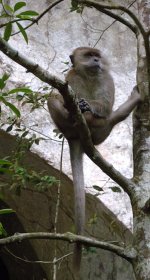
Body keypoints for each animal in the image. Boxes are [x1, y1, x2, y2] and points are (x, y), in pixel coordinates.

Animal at [47, 46, 142, 274]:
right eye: (89, 55)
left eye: (96, 55)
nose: (97, 60)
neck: (89, 76)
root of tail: (77, 137)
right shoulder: (71, 77)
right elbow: (61, 93)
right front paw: (75, 105)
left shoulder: (106, 77)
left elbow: (105, 107)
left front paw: (87, 106)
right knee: (52, 97)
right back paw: (71, 117)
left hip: (101, 133)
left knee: (110, 117)